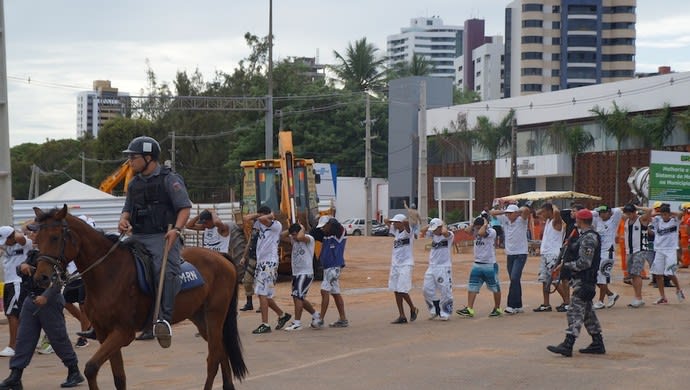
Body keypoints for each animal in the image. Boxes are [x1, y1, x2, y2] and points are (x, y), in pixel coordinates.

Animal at [33, 206, 247, 388]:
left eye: (54, 237)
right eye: (37, 239)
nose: (41, 277)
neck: (109, 272)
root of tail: (221, 257)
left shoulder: (122, 332)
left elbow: (91, 368)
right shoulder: (104, 333)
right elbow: (118, 377)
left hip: (214, 316)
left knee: (213, 358)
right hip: (201, 318)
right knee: (221, 351)